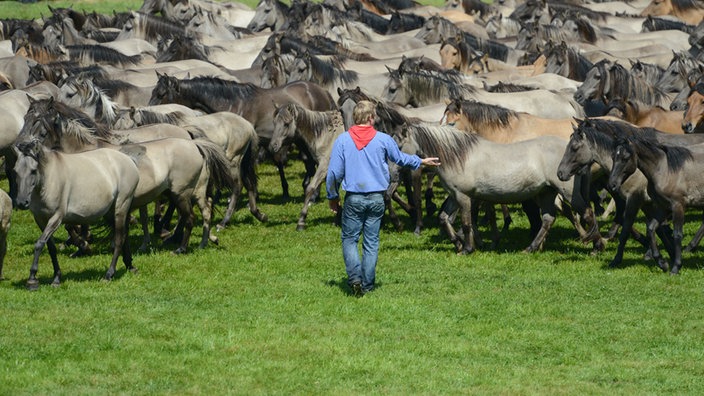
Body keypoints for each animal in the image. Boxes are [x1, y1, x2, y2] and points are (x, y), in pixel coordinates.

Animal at [13, 138, 139, 290]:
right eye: (15, 171)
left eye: (33, 171)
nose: (21, 202)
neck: (49, 179)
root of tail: (129, 160)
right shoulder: (40, 220)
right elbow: (51, 247)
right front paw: (56, 278)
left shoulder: (56, 218)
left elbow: (39, 244)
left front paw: (32, 280)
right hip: (110, 212)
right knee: (124, 235)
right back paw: (130, 266)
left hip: (121, 206)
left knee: (119, 238)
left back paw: (109, 274)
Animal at [147, 74, 336, 203]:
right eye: (153, 91)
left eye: (161, 94)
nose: (148, 110)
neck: (235, 103)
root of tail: (323, 92)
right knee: (311, 163)